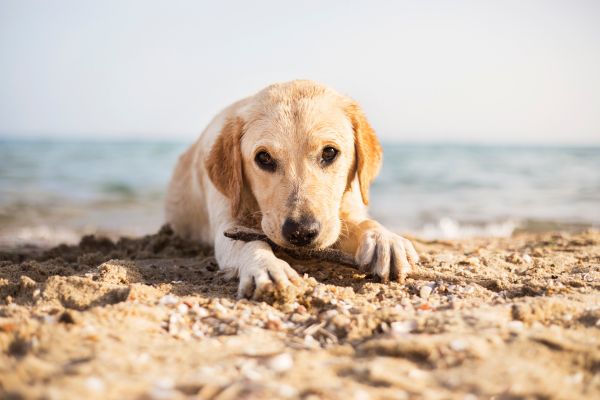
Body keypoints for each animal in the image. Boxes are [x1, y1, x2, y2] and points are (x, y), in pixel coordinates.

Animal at [164, 79, 418, 298]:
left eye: (329, 152)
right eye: (264, 158)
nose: (301, 232)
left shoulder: (346, 210)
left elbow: (363, 222)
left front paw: (384, 240)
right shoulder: (227, 223)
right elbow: (250, 242)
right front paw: (267, 266)